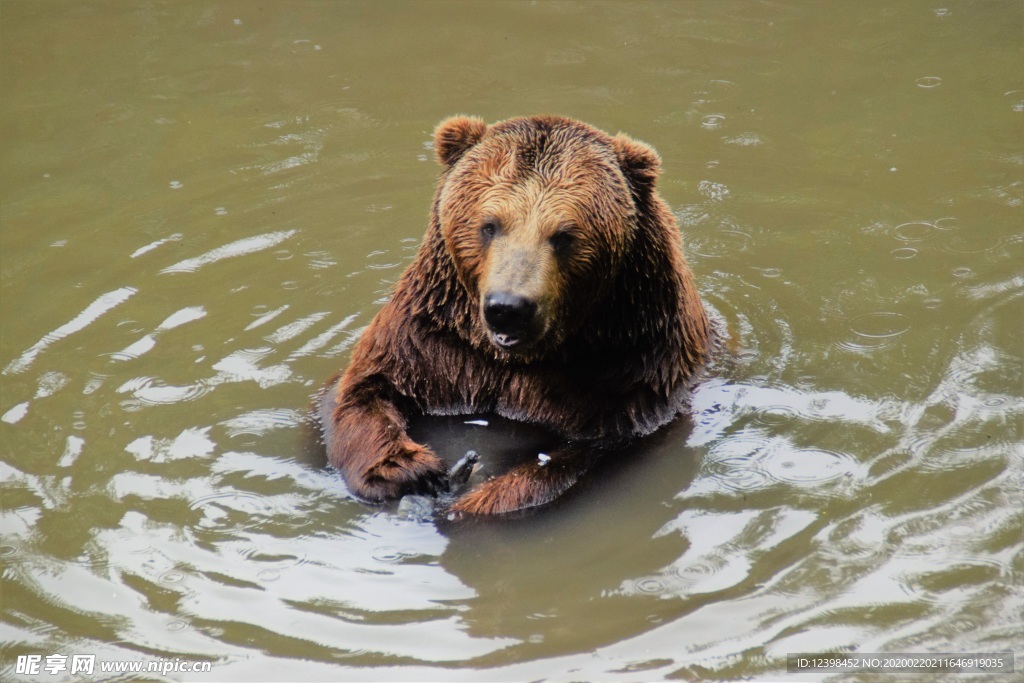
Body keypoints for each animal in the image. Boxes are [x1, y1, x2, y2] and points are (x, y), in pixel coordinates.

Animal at [319, 113, 712, 518]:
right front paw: (411, 470)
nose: (508, 308)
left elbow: (581, 457)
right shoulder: (433, 343)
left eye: (564, 235)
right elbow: (362, 392)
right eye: (489, 225)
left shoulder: (630, 370)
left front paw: (474, 497)